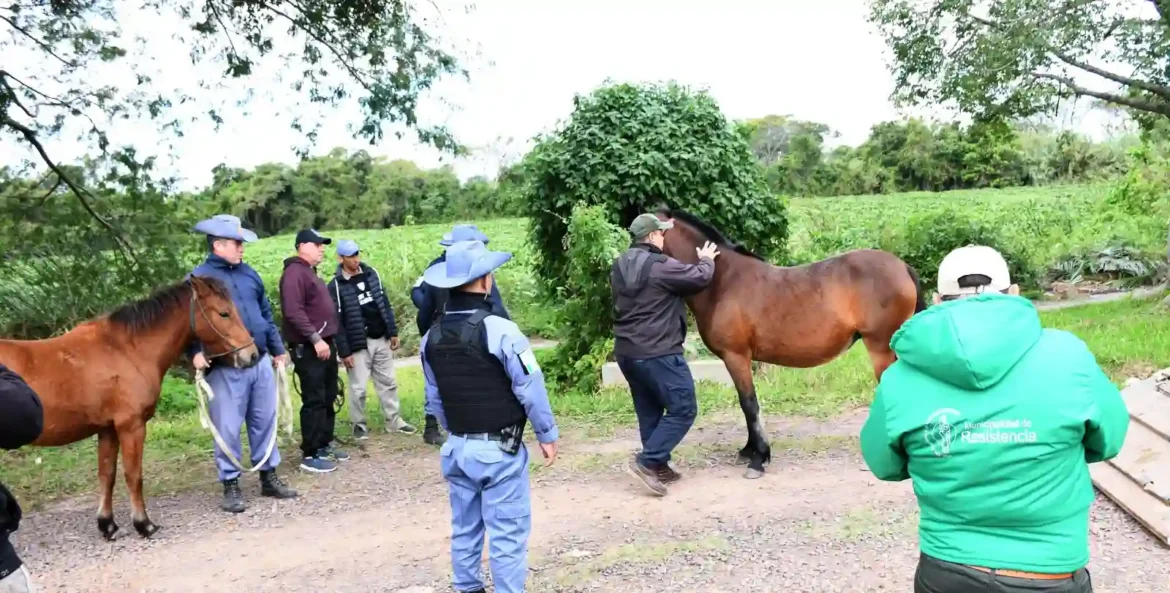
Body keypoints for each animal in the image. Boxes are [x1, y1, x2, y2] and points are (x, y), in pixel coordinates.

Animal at [0, 275, 260, 539]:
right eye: (224, 313)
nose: (252, 354)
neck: (126, 350)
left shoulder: (107, 430)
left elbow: (107, 475)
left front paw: (107, 525)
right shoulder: (131, 427)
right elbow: (133, 476)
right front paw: (144, 524)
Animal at [654, 208, 926, 479]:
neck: (722, 281)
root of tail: (902, 267)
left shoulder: (737, 356)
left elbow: (749, 404)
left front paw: (758, 458)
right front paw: (749, 451)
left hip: (880, 347)